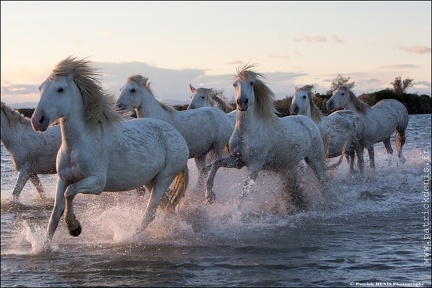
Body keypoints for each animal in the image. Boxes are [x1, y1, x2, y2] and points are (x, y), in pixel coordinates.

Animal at [30, 56, 189, 245]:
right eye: (40, 88)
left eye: (60, 89)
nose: (37, 120)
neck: (77, 145)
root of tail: (178, 136)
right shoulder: (63, 180)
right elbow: (55, 214)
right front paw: (43, 246)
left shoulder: (97, 182)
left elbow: (70, 193)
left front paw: (74, 228)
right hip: (151, 180)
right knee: (166, 207)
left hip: (164, 178)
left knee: (150, 212)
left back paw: (132, 237)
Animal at [206, 63, 328, 207]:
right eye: (235, 84)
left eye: (251, 83)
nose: (242, 102)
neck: (247, 132)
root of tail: (307, 120)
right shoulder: (237, 161)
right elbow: (215, 165)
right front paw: (209, 196)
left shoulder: (255, 166)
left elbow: (244, 194)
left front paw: (238, 211)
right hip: (290, 165)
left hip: (315, 160)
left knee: (323, 183)